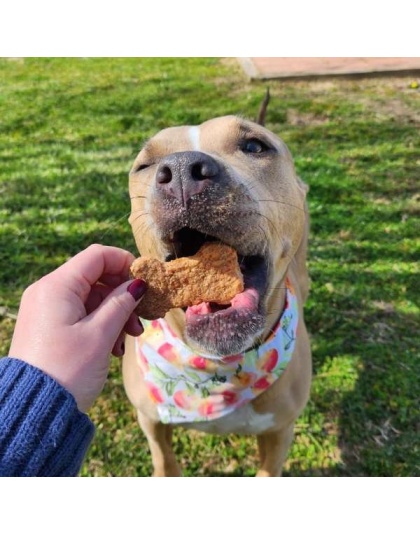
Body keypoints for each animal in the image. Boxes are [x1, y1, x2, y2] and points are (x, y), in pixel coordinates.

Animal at [122, 112, 312, 478]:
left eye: (254, 146)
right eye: (144, 165)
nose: (181, 170)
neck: (216, 369)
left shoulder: (280, 433)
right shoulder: (151, 420)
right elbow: (164, 461)